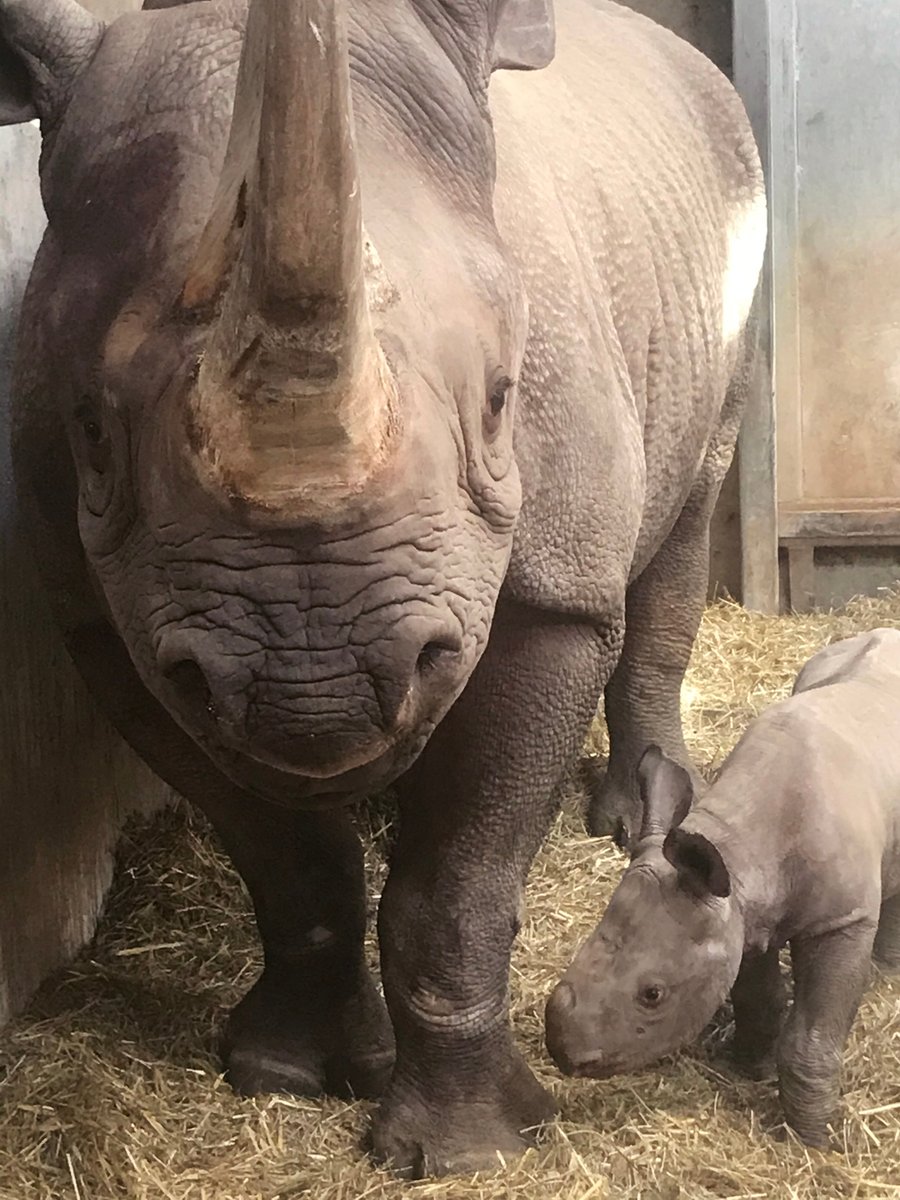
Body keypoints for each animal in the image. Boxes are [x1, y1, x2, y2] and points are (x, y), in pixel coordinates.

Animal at [0, 0, 765, 1176]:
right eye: (89, 430)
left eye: (501, 400)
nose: (312, 677)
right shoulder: (112, 622)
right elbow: (289, 861)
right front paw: (286, 1071)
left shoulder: (547, 593)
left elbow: (454, 888)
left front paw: (467, 1151)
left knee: (692, 493)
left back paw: (635, 819)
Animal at [546, 629, 900, 1148]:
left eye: (652, 994)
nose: (562, 1051)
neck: (741, 846)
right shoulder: (738, 911)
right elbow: (757, 998)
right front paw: (749, 1067)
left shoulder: (841, 919)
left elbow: (812, 1036)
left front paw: (811, 1140)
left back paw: (887, 969)